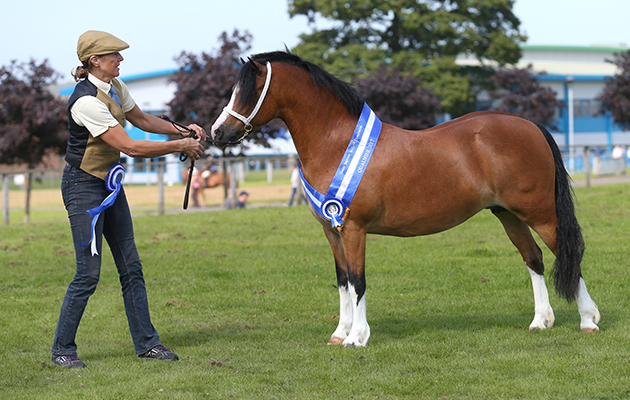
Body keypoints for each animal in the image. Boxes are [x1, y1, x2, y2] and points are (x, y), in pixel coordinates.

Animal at [210, 50, 600, 346]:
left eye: (248, 92)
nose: (217, 132)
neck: (336, 142)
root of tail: (529, 125)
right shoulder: (331, 230)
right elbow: (343, 280)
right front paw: (340, 333)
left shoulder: (354, 228)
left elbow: (358, 280)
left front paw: (357, 337)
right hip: (508, 214)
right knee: (534, 258)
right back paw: (540, 321)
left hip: (541, 213)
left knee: (567, 253)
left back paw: (588, 320)